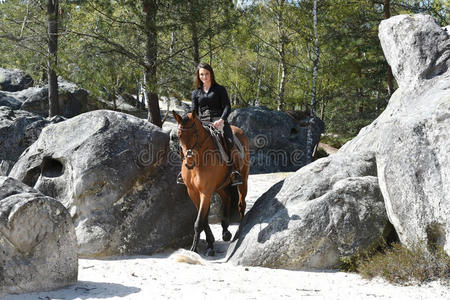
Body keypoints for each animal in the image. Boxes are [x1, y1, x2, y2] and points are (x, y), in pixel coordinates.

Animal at [172, 110, 250, 255]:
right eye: (179, 135)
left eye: (195, 134)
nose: (189, 162)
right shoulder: (193, 192)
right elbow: (203, 219)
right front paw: (210, 244)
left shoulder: (206, 192)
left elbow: (199, 222)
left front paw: (194, 248)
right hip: (221, 186)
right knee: (227, 198)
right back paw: (225, 232)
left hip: (243, 180)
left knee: (241, 204)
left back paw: (241, 228)